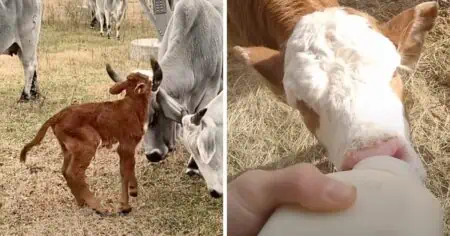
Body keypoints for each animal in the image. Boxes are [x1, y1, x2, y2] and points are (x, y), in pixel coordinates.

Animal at [20, 58, 163, 214]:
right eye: (149, 80)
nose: (156, 84)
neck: (133, 104)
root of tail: (58, 116)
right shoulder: (128, 144)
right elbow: (127, 168)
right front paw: (129, 199)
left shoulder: (123, 147)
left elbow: (126, 168)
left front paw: (129, 197)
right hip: (89, 143)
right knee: (74, 172)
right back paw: (97, 205)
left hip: (68, 148)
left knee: (64, 171)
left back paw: (81, 201)